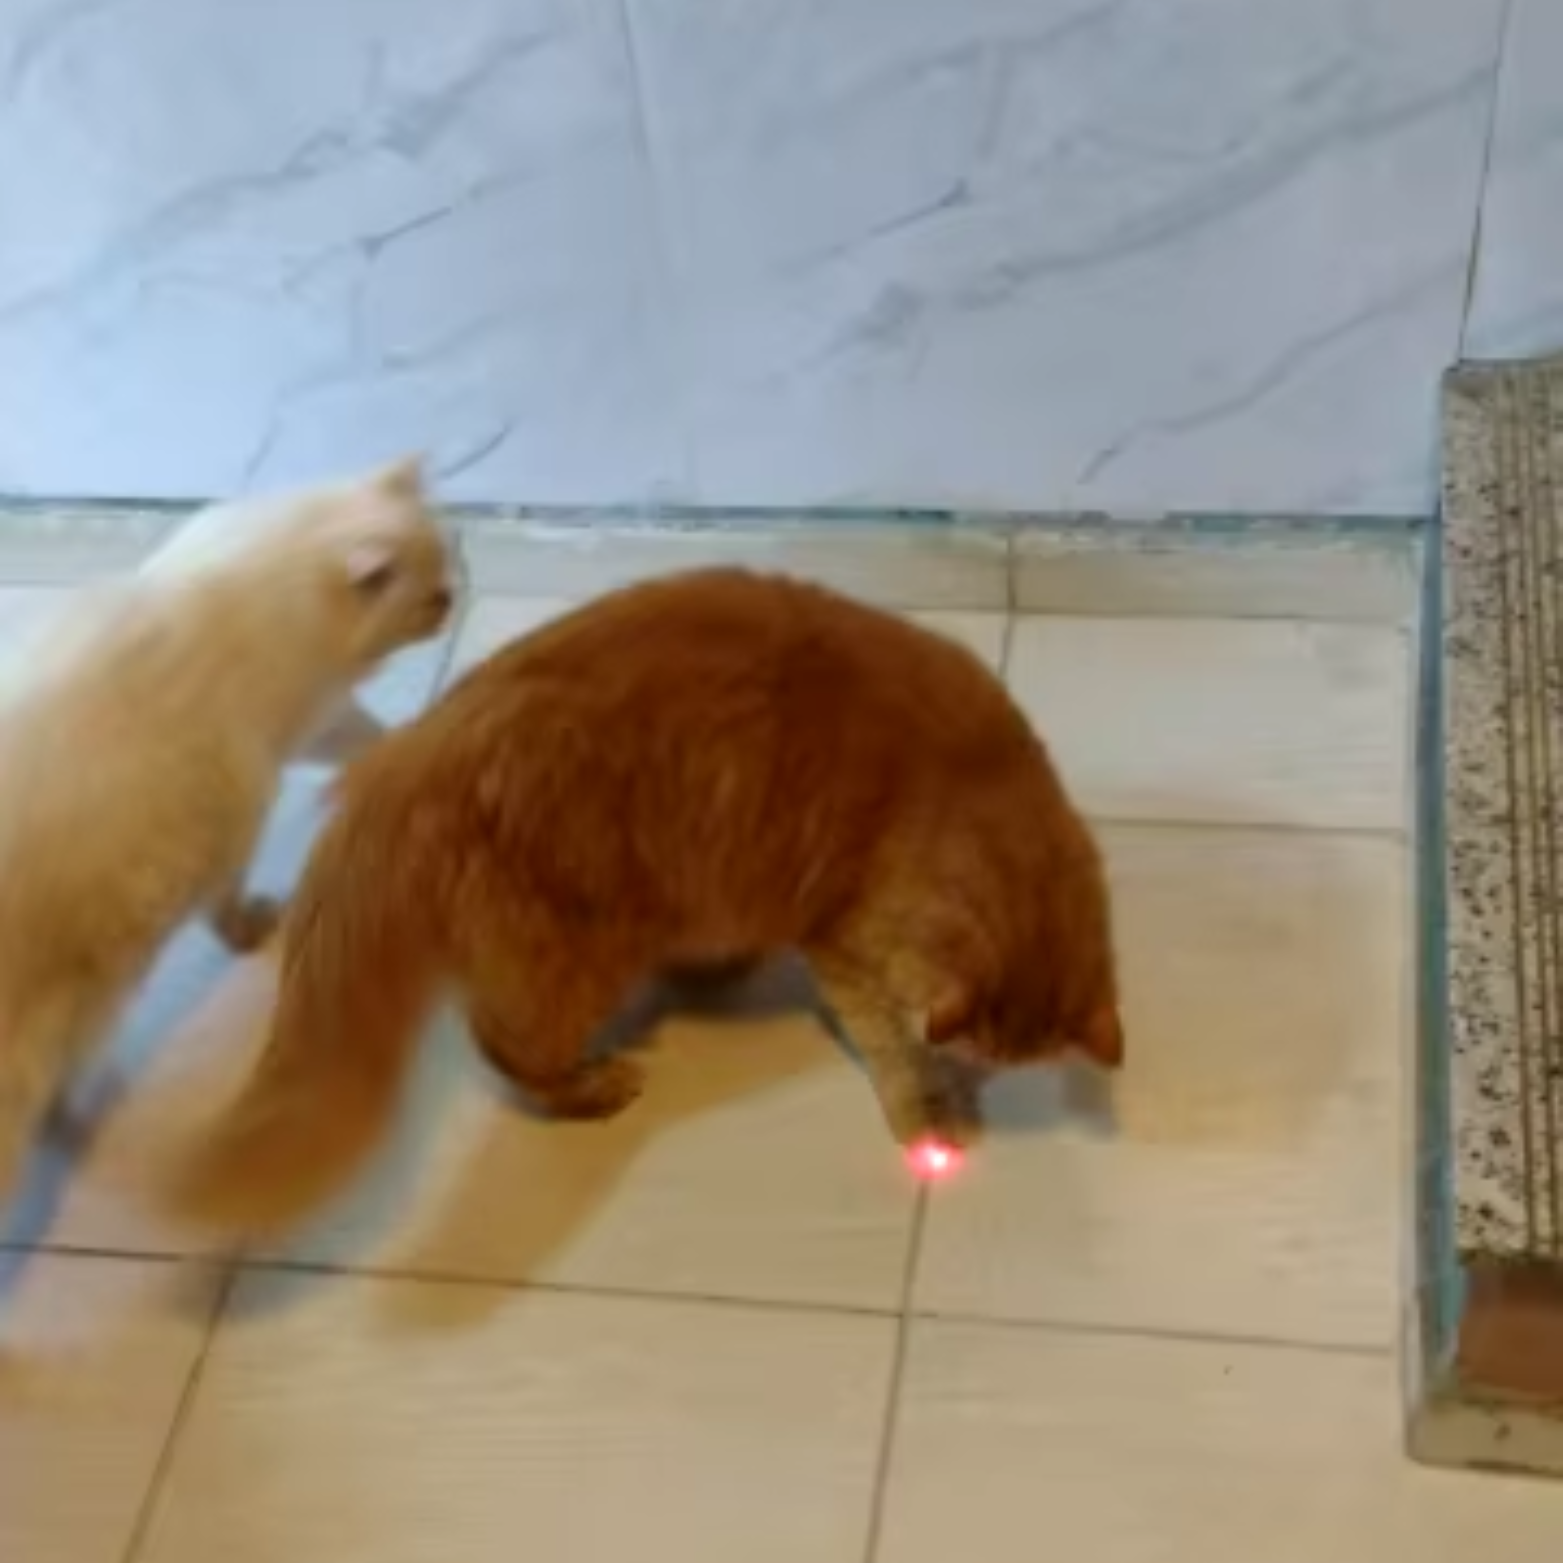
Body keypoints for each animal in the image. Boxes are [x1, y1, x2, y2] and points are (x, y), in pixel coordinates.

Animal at [0, 458, 456, 1205]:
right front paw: (255, 926)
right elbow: (234, 895)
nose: (451, 600)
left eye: (448, 571)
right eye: (428, 598)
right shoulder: (266, 771)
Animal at [176, 567, 1123, 1231]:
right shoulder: (844, 946)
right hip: (576, 960)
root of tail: (416, 749)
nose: (965, 1057)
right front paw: (927, 1105)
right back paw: (592, 1087)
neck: (961, 782)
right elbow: (890, 1051)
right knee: (502, 1044)